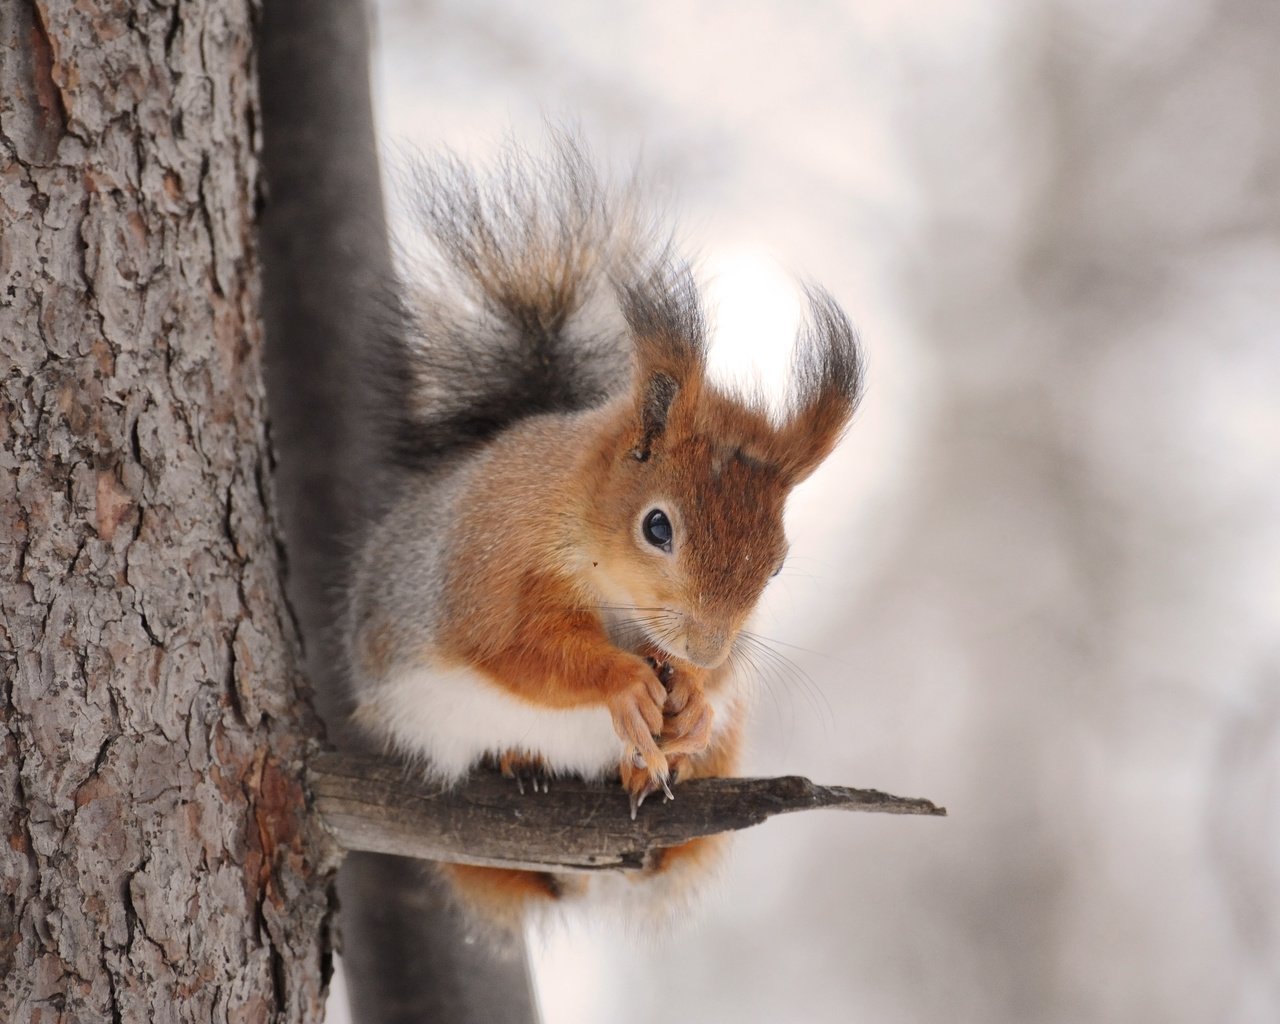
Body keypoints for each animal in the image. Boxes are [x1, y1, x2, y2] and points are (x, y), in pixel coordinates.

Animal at [340, 140, 865, 931]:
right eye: (657, 526)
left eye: (777, 565)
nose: (705, 646)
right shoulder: (488, 567)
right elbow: (520, 653)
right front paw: (624, 681)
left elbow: (717, 683)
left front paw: (695, 696)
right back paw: (523, 763)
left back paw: (649, 770)